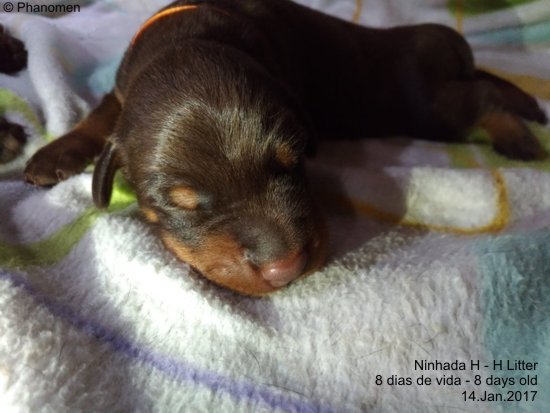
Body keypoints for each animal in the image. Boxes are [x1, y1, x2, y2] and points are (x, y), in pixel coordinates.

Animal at [23, 0, 548, 295]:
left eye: (294, 161)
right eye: (182, 204)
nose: (285, 269)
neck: (187, 38)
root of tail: (446, 39)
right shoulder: (122, 89)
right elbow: (100, 113)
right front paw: (55, 154)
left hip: (425, 105)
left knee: (483, 97)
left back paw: (520, 136)